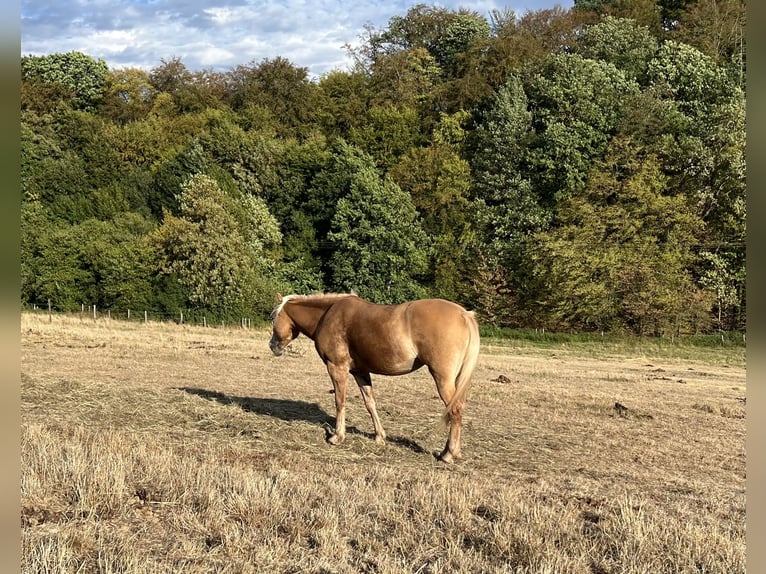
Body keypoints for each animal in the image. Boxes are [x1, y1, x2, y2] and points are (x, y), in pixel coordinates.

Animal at [269, 293, 480, 462]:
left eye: (273, 318)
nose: (272, 346)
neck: (327, 314)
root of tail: (464, 314)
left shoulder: (337, 368)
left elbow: (340, 401)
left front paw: (337, 437)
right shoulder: (360, 372)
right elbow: (370, 403)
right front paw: (379, 437)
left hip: (442, 378)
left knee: (455, 410)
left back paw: (448, 454)